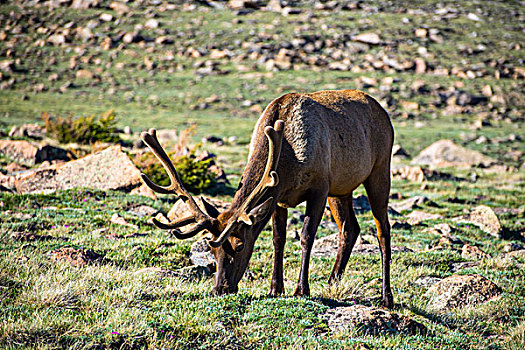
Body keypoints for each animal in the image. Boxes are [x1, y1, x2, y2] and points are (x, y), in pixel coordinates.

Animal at [139, 89, 392, 308]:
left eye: (239, 246)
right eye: (211, 249)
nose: (220, 289)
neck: (288, 161)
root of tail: (384, 113)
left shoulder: (320, 186)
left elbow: (306, 236)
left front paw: (301, 289)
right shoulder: (278, 197)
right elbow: (278, 239)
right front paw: (275, 289)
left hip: (379, 170)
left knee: (383, 229)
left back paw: (386, 297)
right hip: (341, 189)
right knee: (350, 228)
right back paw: (332, 284)